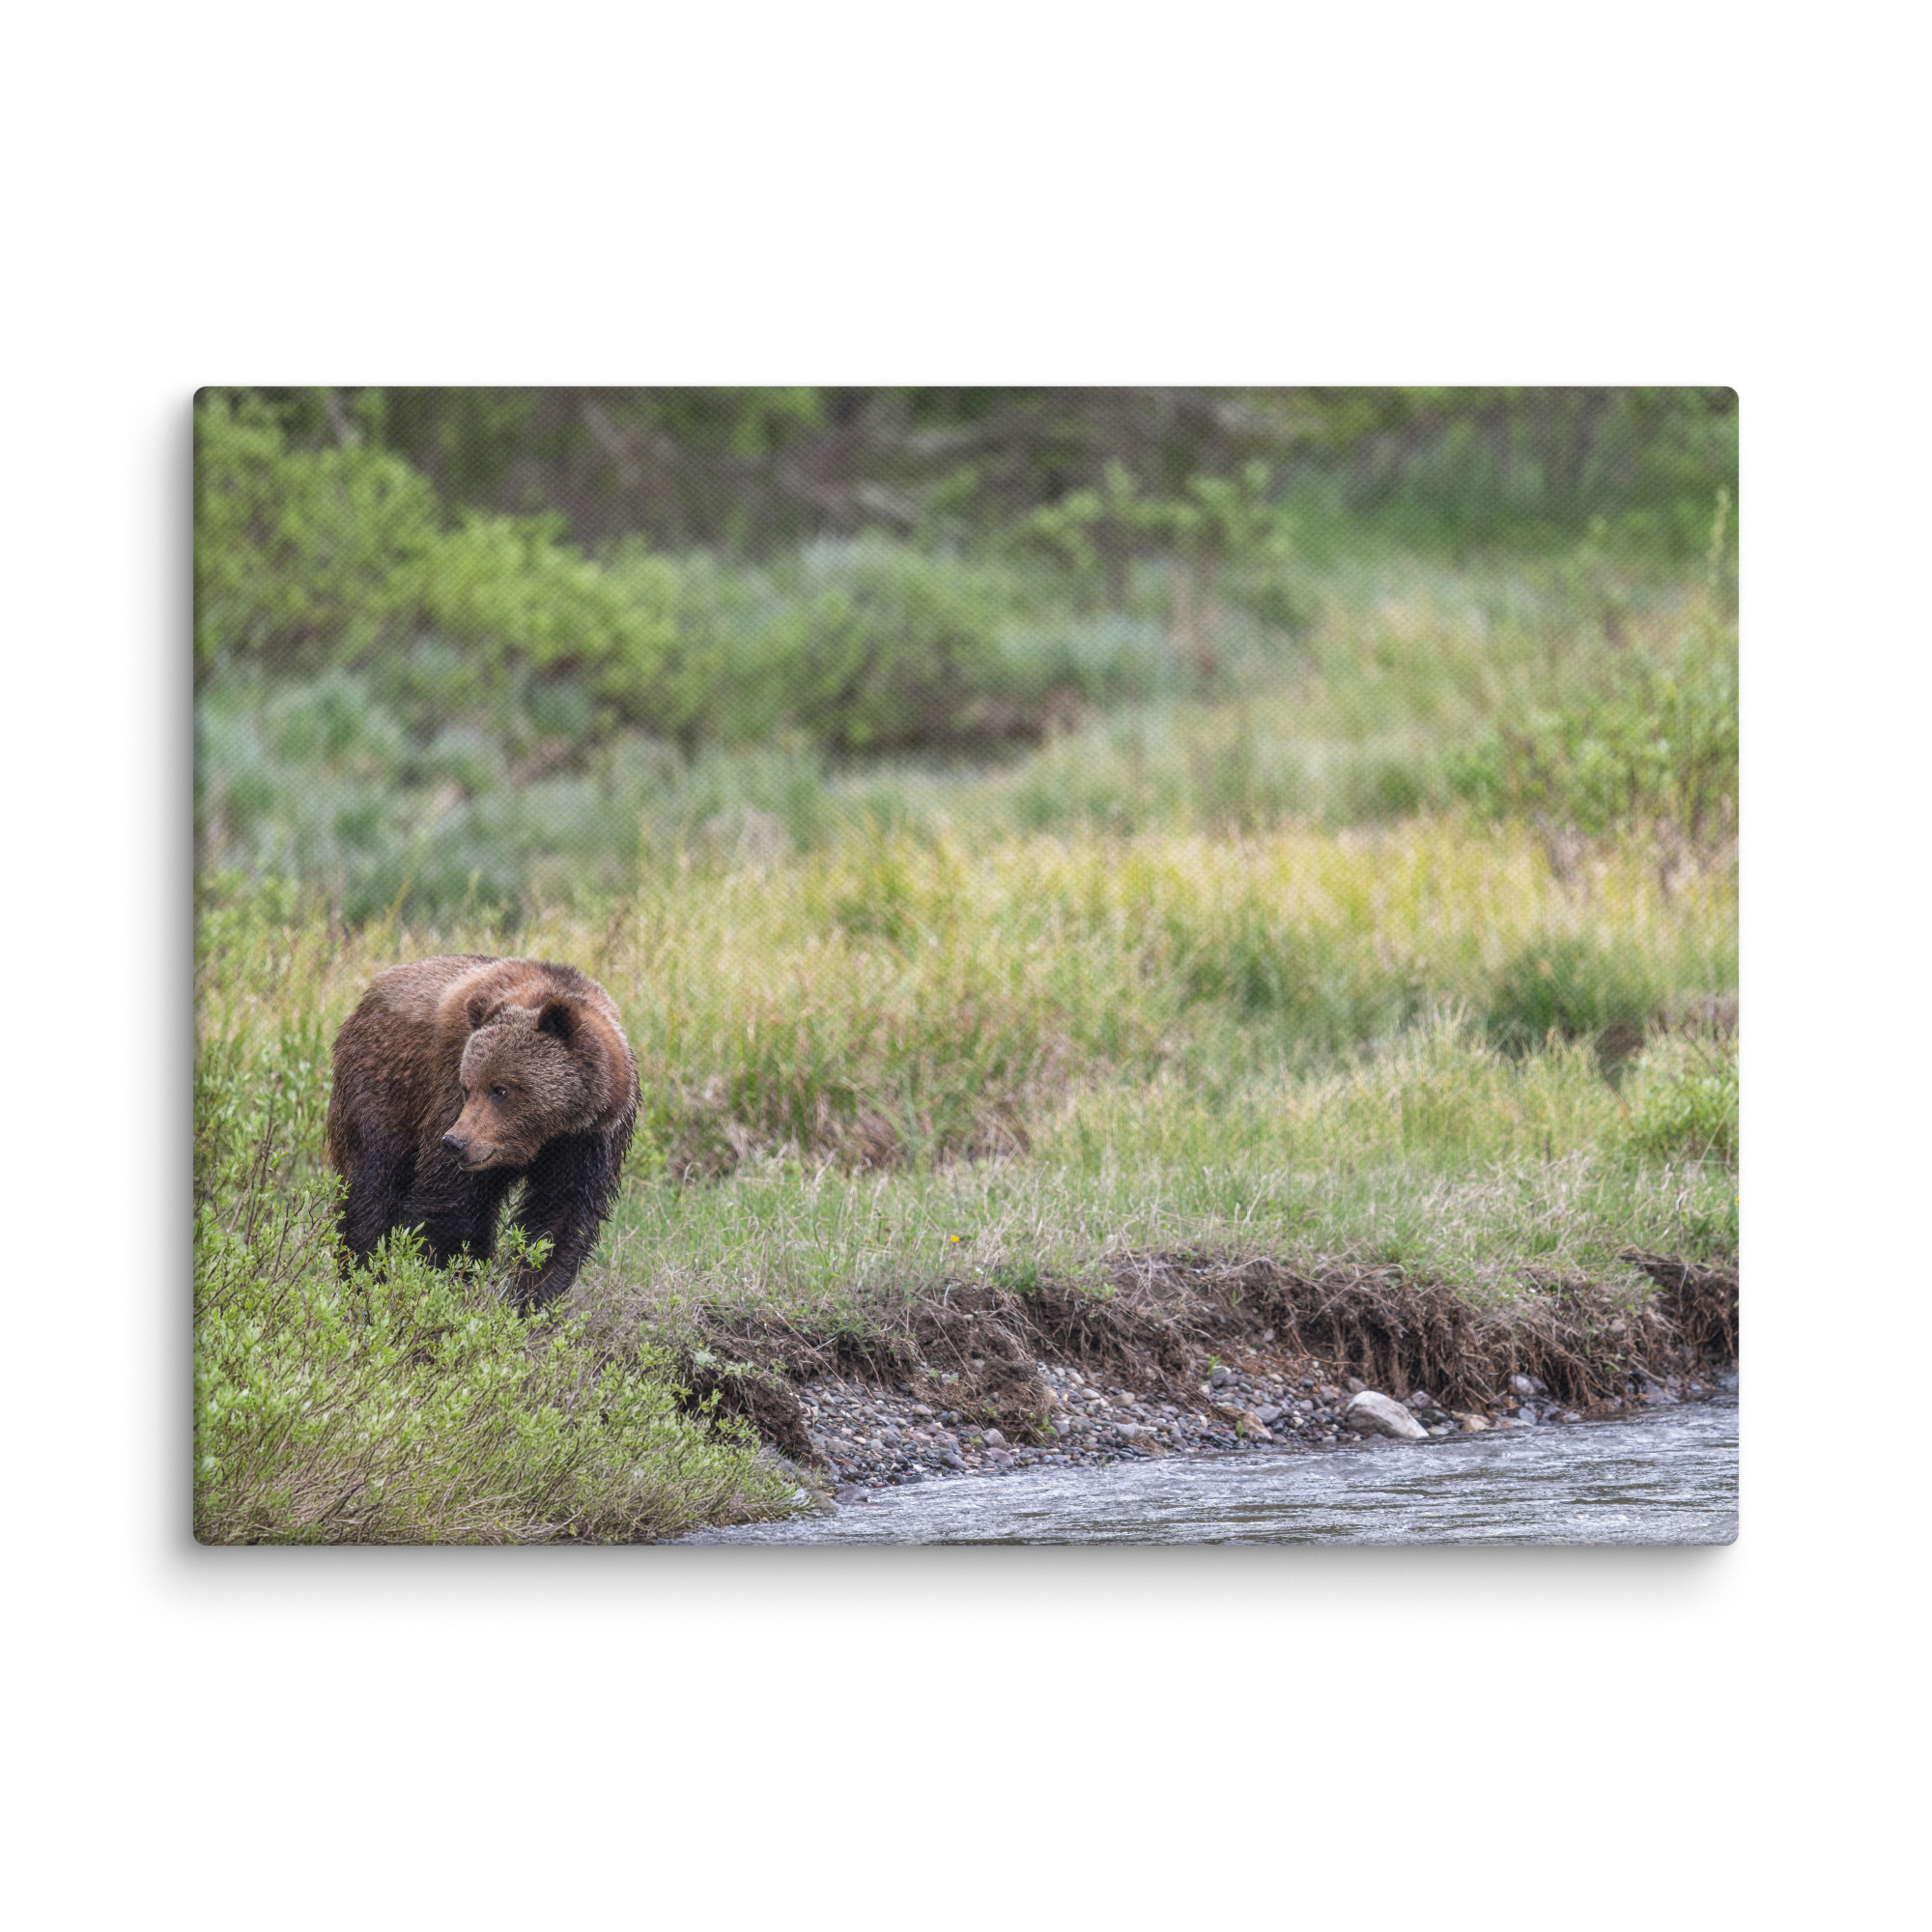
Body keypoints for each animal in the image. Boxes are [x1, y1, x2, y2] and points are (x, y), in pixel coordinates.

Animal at [324, 955, 640, 1312]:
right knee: (372, 1186)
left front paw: (531, 1298)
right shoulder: (448, 1094)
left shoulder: (588, 1141)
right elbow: (451, 1207)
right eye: (468, 1087)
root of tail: (373, 989)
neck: (546, 1134)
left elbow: (560, 1218)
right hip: (384, 1086)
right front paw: (445, 1282)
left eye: (500, 1089)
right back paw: (363, 1277)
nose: (455, 1143)